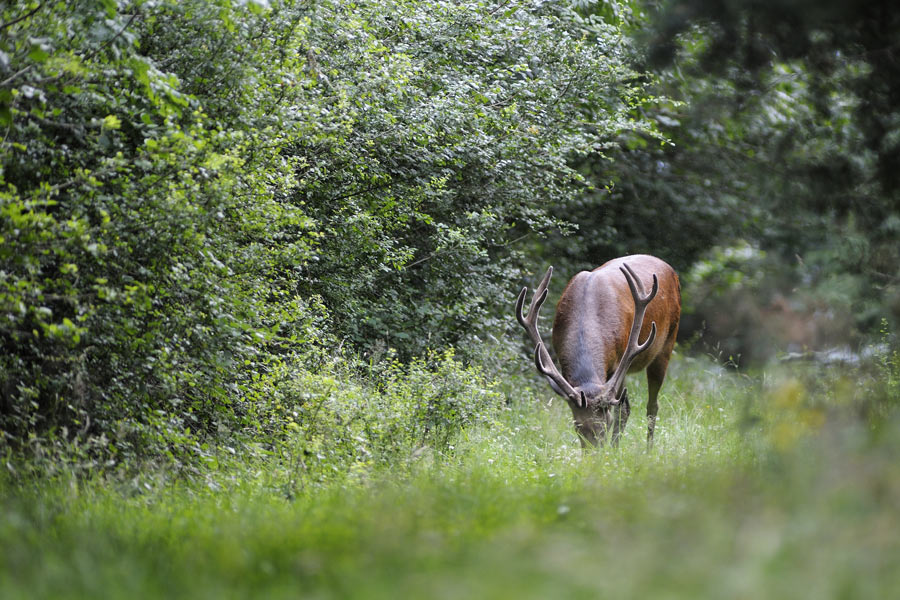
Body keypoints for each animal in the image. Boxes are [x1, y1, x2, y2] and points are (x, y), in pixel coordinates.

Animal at [512, 253, 684, 446]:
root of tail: (670, 269)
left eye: (606, 423)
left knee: (651, 406)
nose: (595, 452)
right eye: (577, 426)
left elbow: (622, 410)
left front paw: (614, 450)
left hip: (667, 343)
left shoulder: (618, 363)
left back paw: (648, 448)